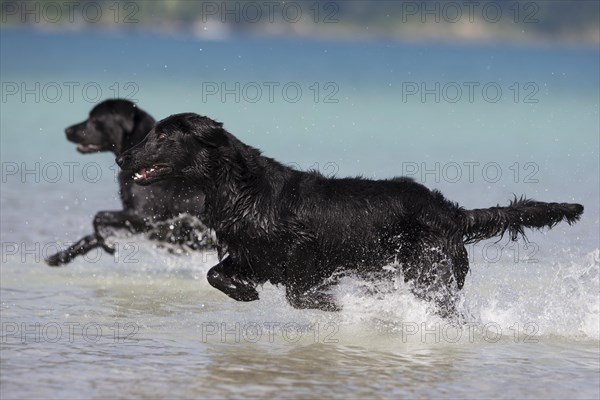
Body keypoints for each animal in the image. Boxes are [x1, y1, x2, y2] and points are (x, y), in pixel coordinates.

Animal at [48, 100, 214, 266]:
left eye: (94, 119)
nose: (67, 130)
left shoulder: (146, 218)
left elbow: (99, 218)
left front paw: (107, 246)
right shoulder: (135, 223)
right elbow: (93, 235)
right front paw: (60, 256)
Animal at [116, 112, 580, 312]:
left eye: (162, 136)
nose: (122, 158)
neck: (242, 190)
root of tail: (452, 213)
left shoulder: (305, 250)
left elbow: (300, 291)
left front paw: (329, 305)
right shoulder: (250, 254)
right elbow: (215, 273)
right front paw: (244, 292)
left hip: (429, 272)